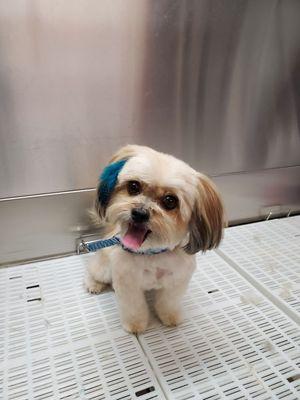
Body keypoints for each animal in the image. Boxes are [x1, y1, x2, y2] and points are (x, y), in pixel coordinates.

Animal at [85, 145, 225, 332]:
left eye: (170, 200)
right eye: (134, 186)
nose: (139, 213)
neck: (151, 253)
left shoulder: (176, 281)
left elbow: (168, 303)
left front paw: (169, 317)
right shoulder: (128, 283)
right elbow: (134, 308)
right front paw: (135, 325)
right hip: (105, 268)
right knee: (93, 270)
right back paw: (94, 284)